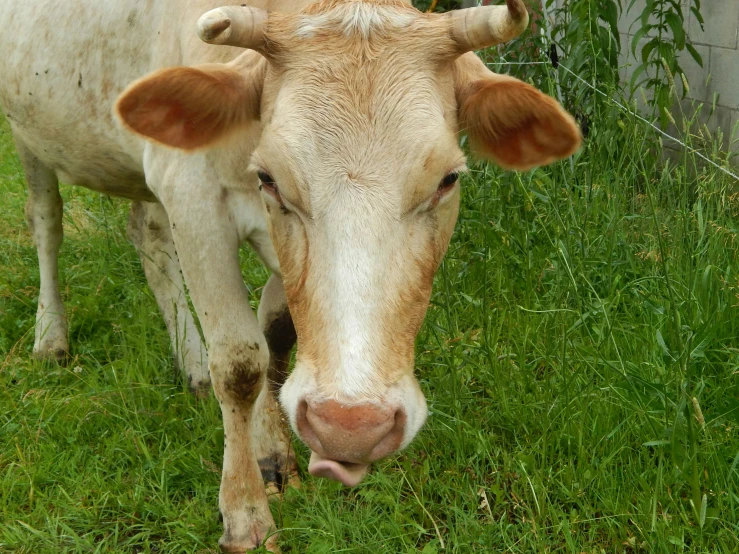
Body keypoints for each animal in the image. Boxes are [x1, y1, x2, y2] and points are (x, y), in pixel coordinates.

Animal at [0, 0, 580, 548]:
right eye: (269, 178)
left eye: (448, 179)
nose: (350, 429)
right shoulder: (192, 195)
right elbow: (240, 362)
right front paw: (243, 514)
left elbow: (274, 333)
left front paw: (273, 455)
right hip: (27, 135)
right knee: (46, 220)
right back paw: (50, 337)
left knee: (147, 234)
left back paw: (190, 363)